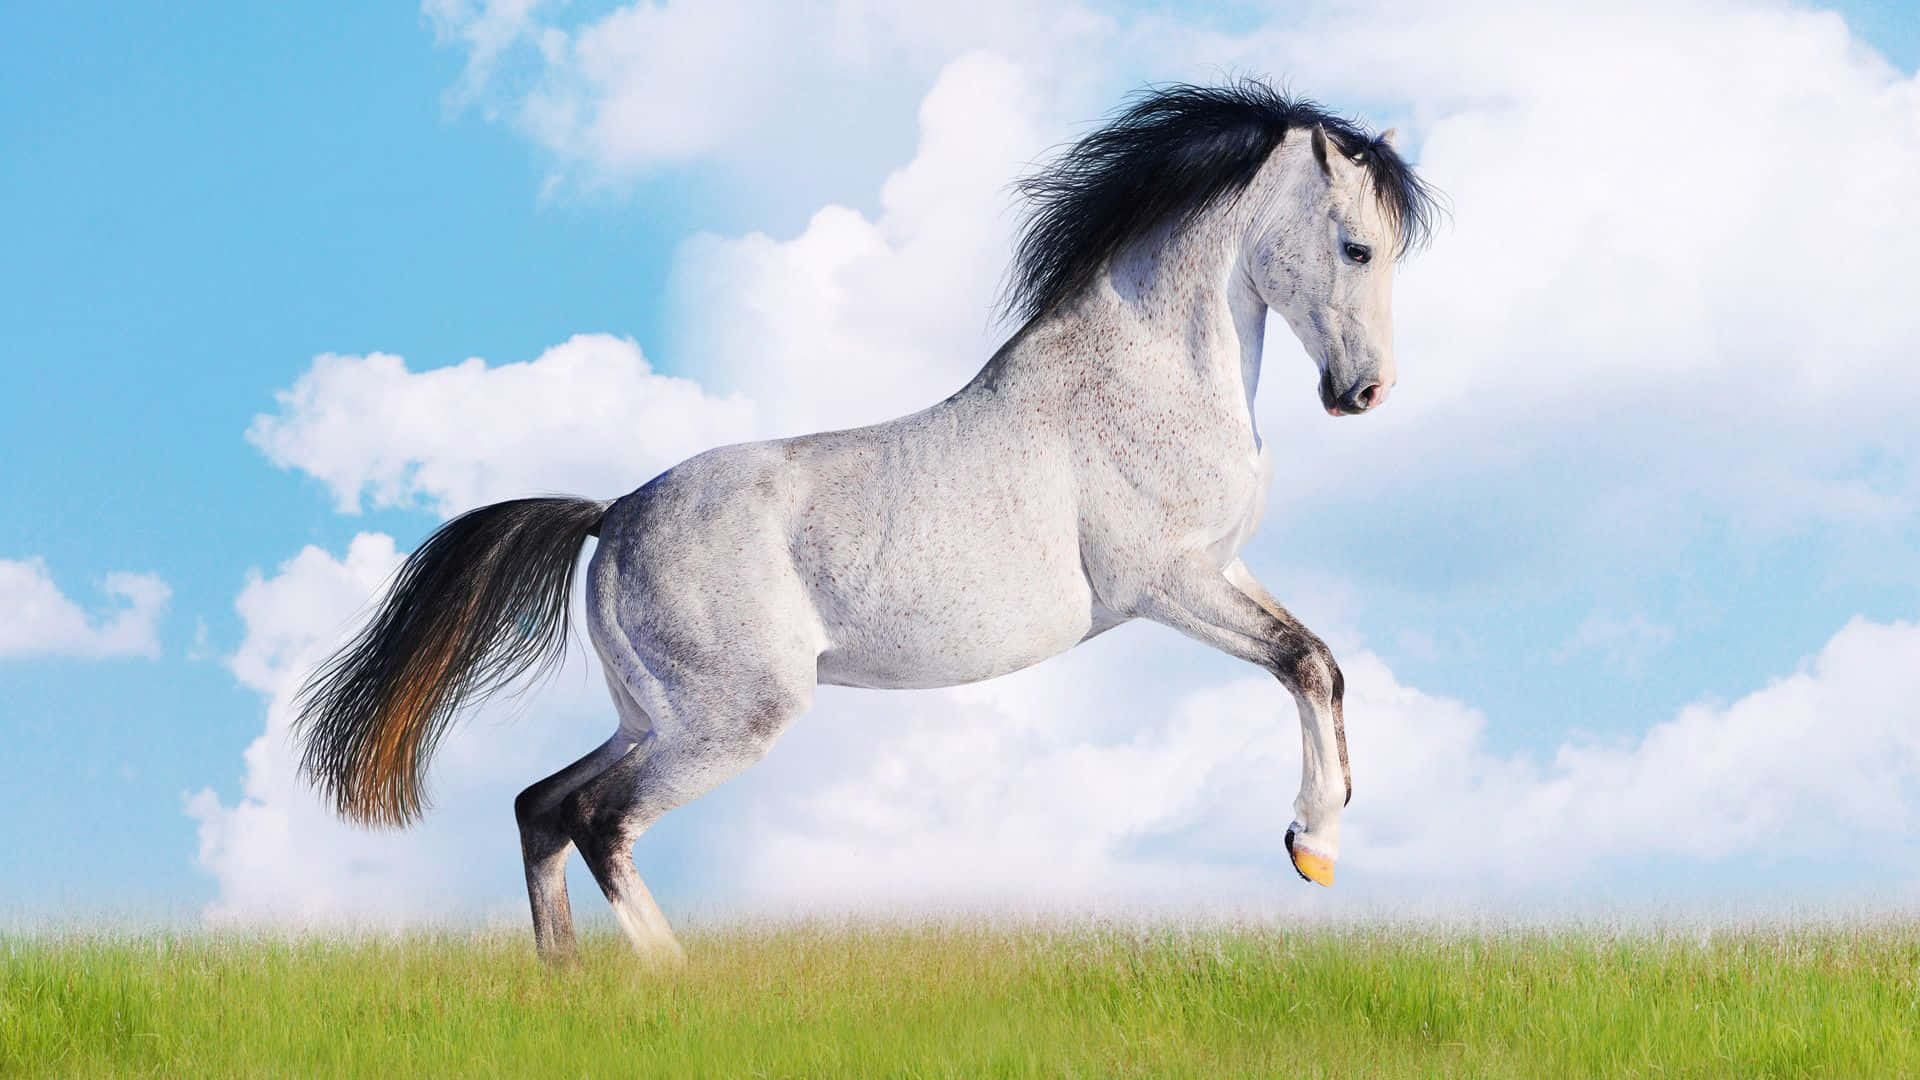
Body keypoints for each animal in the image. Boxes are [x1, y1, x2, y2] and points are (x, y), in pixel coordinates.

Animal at [294, 80, 1439, 963]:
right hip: (731, 720)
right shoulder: (1166, 584)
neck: (1146, 377)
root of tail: (612, 516)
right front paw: (1311, 843)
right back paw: (673, 986)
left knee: (541, 805)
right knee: (597, 820)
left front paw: (1318, 847)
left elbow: (1323, 662)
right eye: (1356, 248)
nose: (1364, 393)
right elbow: (1301, 662)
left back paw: (567, 984)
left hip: (654, 714)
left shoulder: (1219, 572)